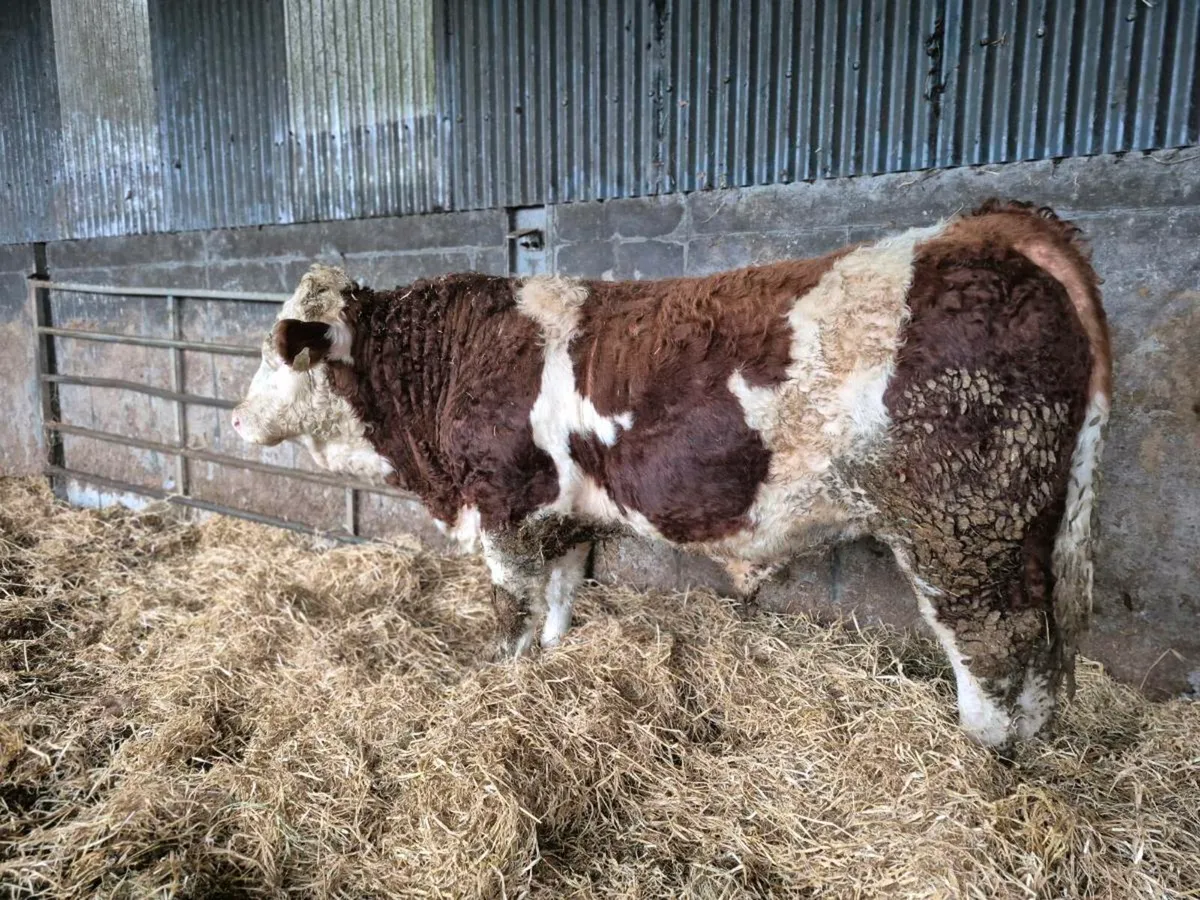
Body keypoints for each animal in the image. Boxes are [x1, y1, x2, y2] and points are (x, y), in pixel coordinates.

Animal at [232, 200, 1111, 754]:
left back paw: (982, 757)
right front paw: (555, 659)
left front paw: (501, 677)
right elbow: (561, 594)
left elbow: (513, 608)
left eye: (276, 353)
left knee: (996, 647)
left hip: (965, 526)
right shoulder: (560, 513)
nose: (235, 420)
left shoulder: (505, 505)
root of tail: (991, 226)